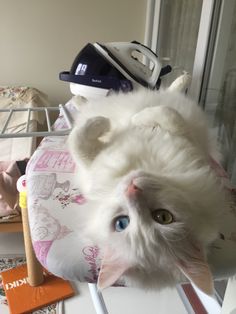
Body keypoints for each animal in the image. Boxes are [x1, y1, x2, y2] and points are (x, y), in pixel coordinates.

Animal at [68, 83, 229, 294]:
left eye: (163, 217)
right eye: (122, 223)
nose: (132, 189)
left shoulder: (185, 139)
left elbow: (169, 115)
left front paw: (132, 119)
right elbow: (78, 139)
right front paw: (113, 121)